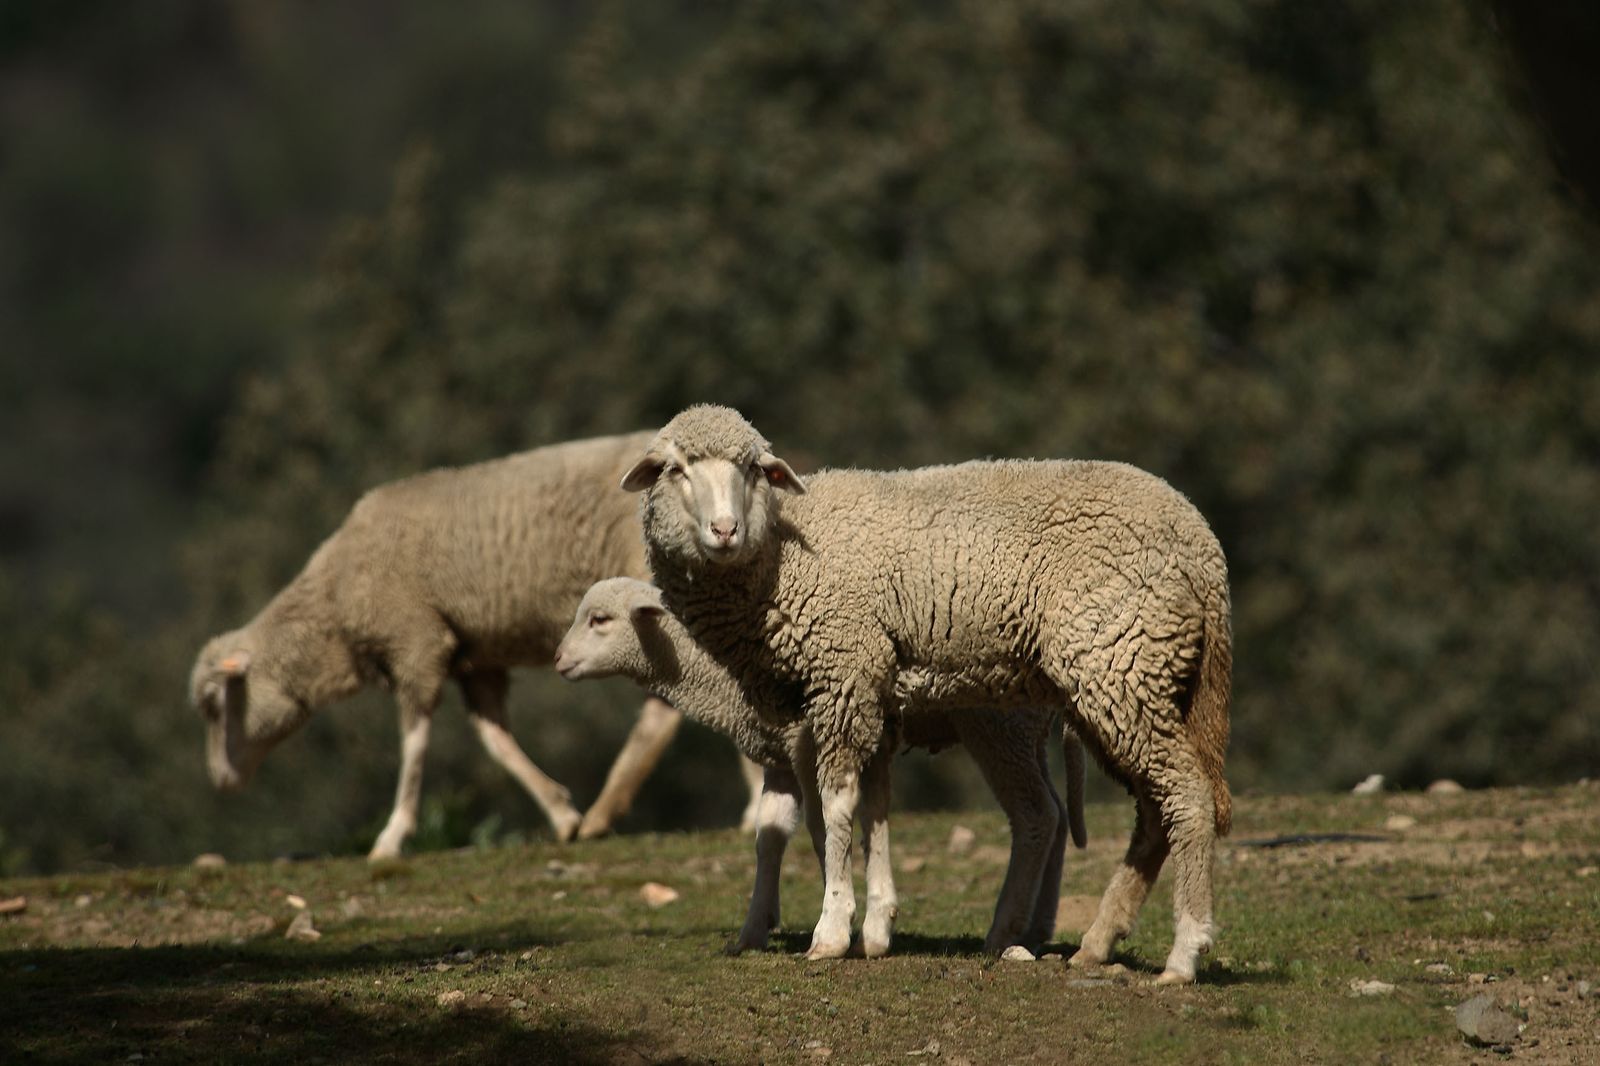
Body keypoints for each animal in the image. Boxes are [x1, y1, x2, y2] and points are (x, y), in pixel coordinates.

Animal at [188, 431, 764, 860]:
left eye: (216, 704)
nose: (218, 781)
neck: (334, 604)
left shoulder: (416, 641)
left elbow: (414, 743)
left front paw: (392, 836)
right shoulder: (474, 659)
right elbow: (496, 740)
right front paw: (560, 811)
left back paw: (625, 811)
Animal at [554, 576, 1088, 957]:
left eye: (600, 619)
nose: (558, 660)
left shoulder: (806, 743)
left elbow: (819, 826)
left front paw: (839, 917)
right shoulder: (780, 756)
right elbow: (770, 837)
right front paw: (754, 930)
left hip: (997, 725)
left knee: (1036, 815)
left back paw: (1003, 932)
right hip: (1026, 732)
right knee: (1058, 814)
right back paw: (1036, 927)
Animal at [623, 405, 1232, 984]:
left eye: (752, 469)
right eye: (675, 470)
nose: (725, 530)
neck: (783, 555)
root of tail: (1204, 545)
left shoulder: (844, 672)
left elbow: (836, 806)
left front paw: (832, 931)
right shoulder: (868, 694)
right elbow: (873, 806)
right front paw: (874, 929)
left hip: (1117, 660)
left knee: (1185, 796)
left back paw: (1183, 952)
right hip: (1127, 682)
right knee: (1152, 813)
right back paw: (1097, 943)